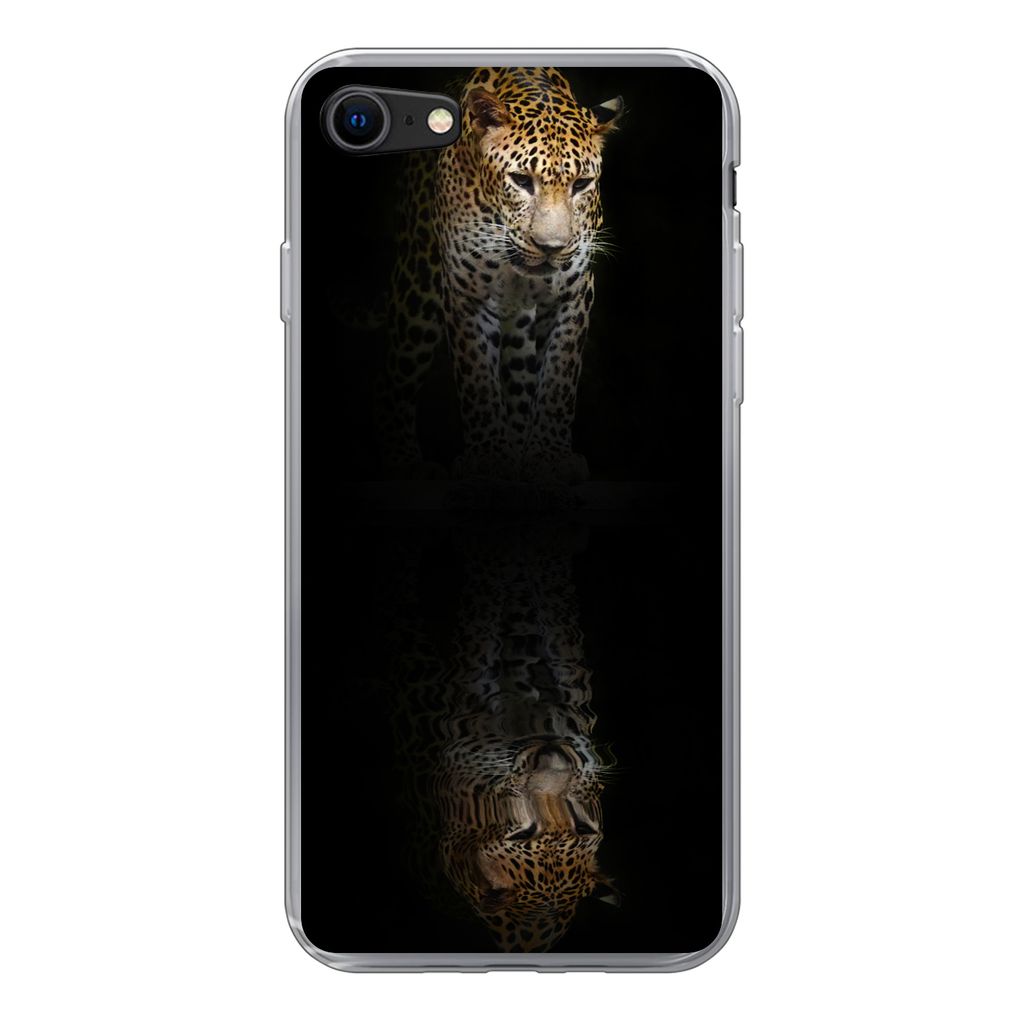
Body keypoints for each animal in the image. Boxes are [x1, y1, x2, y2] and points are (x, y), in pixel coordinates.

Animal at [376, 67, 623, 485]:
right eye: (521, 180)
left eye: (581, 185)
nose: (551, 246)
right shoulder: (464, 293)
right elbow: (476, 376)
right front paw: (488, 456)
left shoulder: (574, 294)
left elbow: (559, 377)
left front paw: (548, 456)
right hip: (417, 290)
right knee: (398, 373)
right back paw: (401, 460)